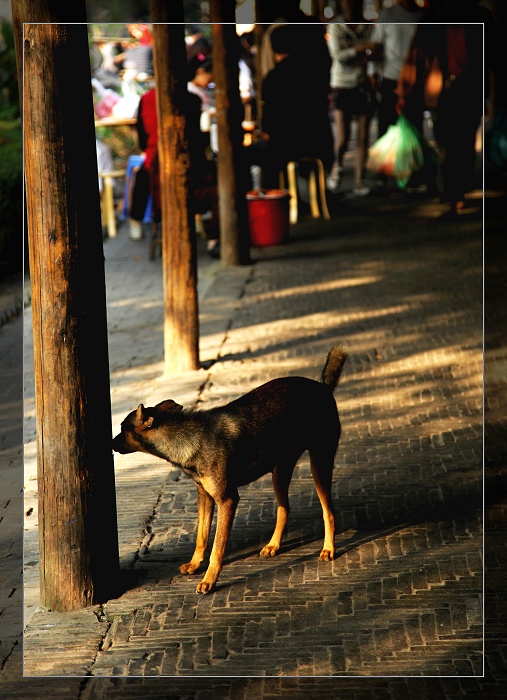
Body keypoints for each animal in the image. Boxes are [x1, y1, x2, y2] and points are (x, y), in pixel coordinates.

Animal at [112, 344, 348, 592]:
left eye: (122, 427)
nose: (110, 443)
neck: (186, 437)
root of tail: (323, 387)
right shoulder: (205, 496)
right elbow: (201, 536)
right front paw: (195, 565)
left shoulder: (227, 500)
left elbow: (217, 546)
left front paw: (209, 580)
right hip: (280, 472)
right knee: (285, 508)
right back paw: (273, 545)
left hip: (319, 463)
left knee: (329, 511)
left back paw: (329, 548)